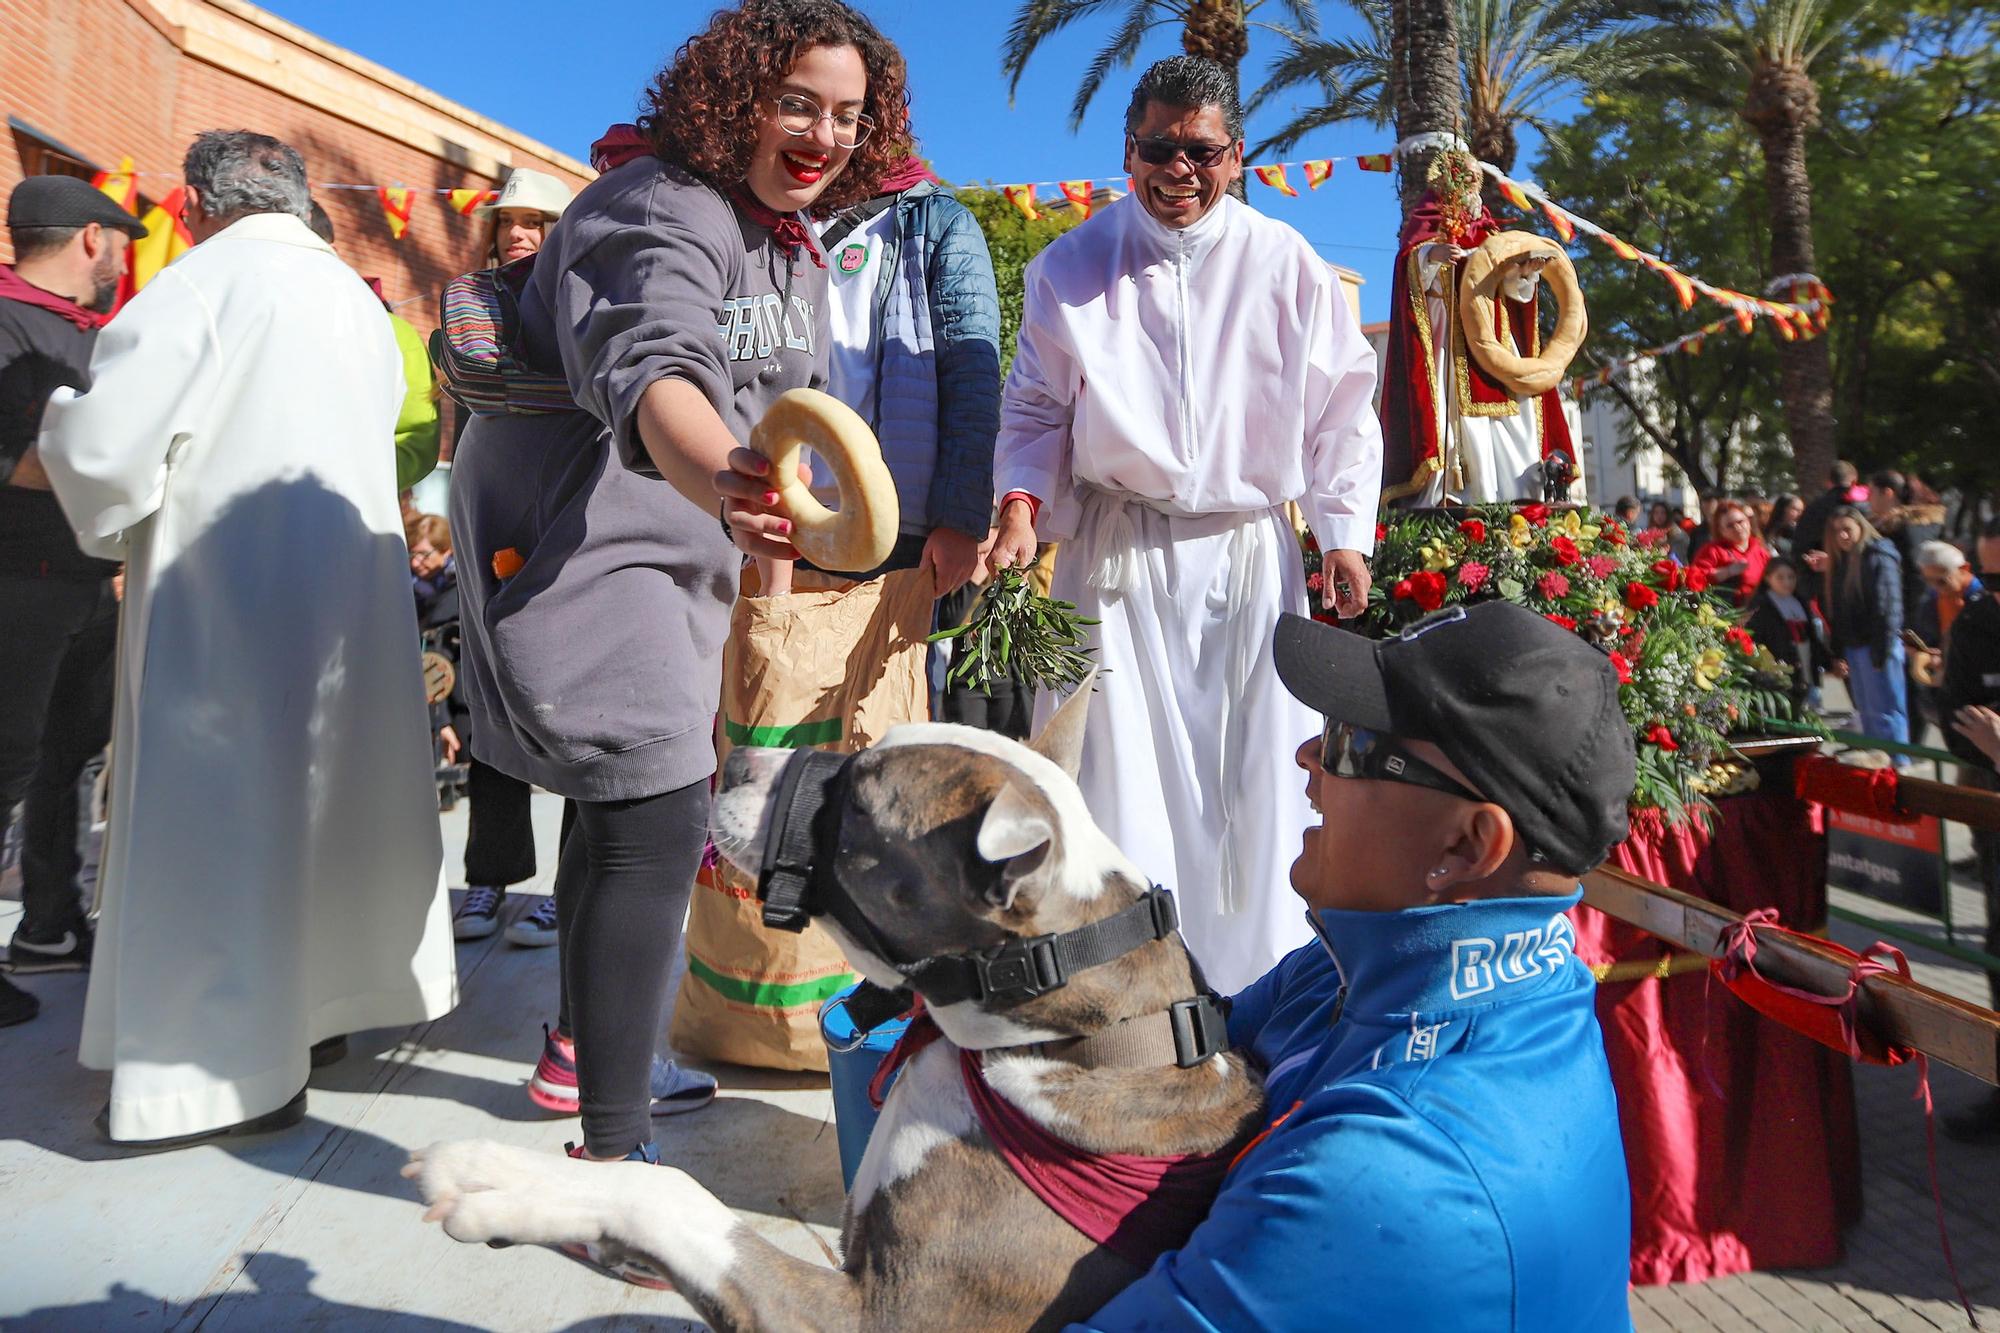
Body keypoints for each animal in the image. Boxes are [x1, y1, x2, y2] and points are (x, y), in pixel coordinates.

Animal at [406, 684, 1264, 1328]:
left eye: (856, 805)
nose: (734, 758)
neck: (1060, 1043)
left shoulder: (882, 1315)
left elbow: (673, 1196)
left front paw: (496, 1186)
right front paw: (502, 1172)